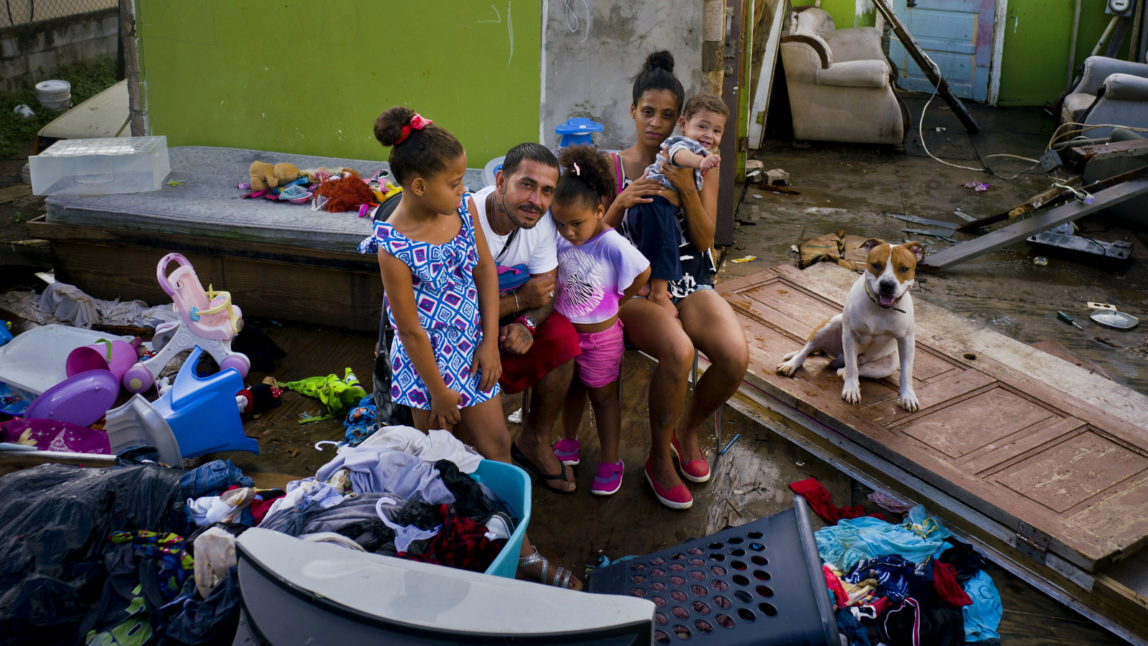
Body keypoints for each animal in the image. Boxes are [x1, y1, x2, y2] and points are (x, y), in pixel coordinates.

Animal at [776, 239, 927, 413]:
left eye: (904, 268)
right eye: (876, 265)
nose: (887, 284)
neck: (880, 310)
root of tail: (836, 358)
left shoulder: (906, 340)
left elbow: (907, 372)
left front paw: (908, 396)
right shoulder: (849, 335)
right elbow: (851, 366)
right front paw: (851, 389)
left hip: (890, 363)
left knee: (854, 368)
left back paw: (843, 371)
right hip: (830, 325)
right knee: (807, 350)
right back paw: (791, 364)